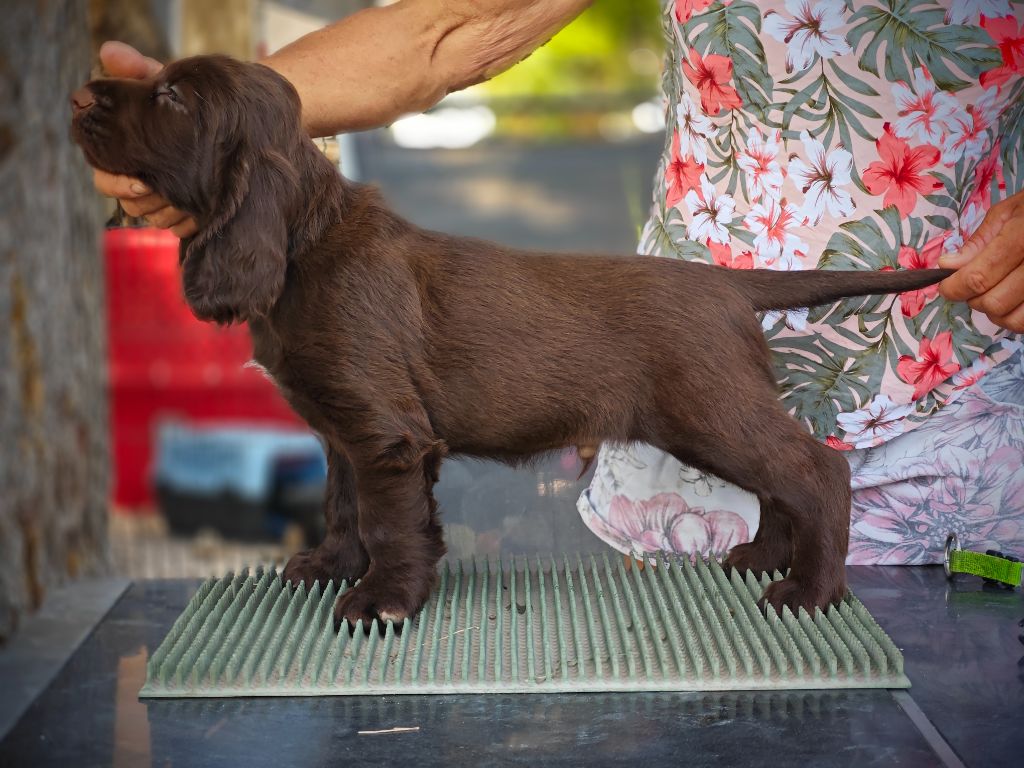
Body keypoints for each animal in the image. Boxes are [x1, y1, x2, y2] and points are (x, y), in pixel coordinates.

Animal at [70, 55, 950, 630]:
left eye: (173, 96)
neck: (304, 243)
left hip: (709, 409)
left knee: (814, 470)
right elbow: (341, 506)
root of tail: (731, 286)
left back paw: (809, 591)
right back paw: (766, 557)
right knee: (779, 482)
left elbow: (388, 522)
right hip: (713, 416)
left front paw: (382, 600)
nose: (81, 92)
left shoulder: (386, 435)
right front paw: (330, 566)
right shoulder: (344, 432)